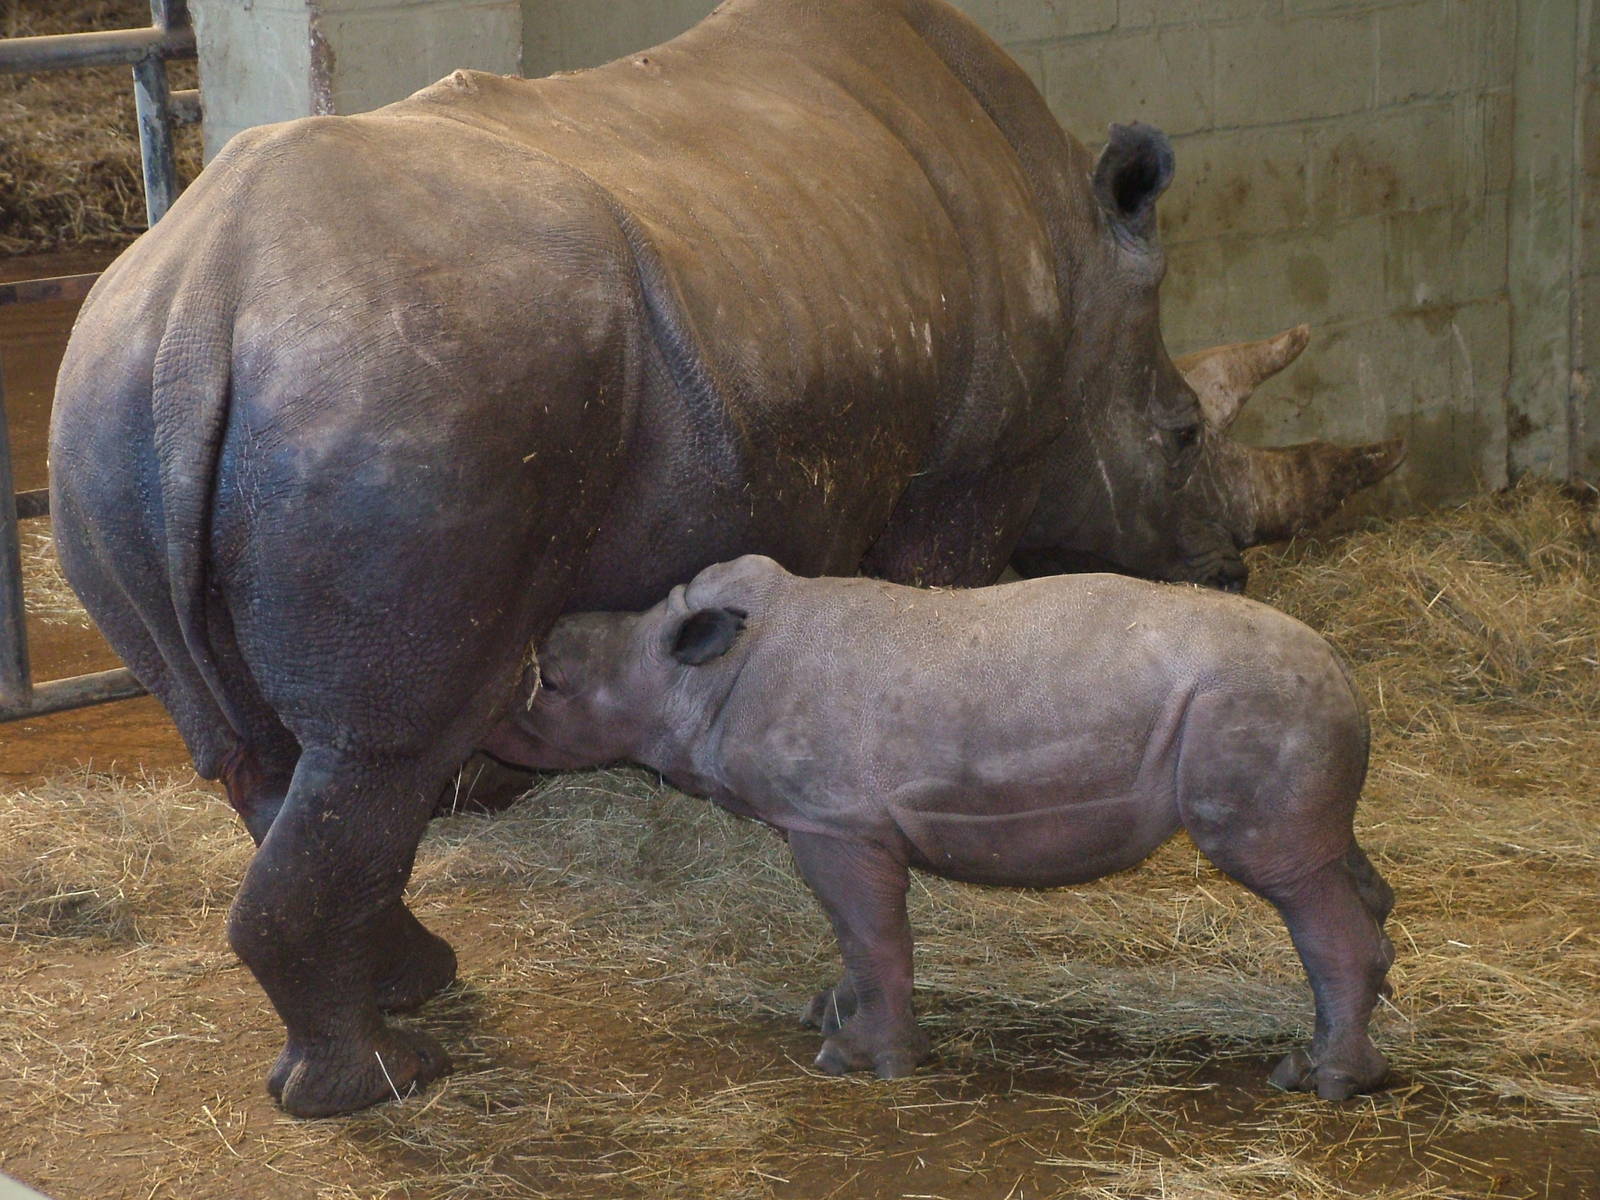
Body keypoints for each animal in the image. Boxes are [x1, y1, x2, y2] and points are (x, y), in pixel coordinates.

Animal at [485, 555, 1396, 1100]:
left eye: (553, 686)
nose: (492, 729)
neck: (697, 673)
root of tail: (1344, 666)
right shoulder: (832, 821)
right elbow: (856, 938)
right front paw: (831, 1011)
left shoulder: (838, 824)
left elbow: (874, 934)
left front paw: (863, 1061)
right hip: (1284, 705)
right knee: (1327, 860)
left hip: (1254, 700)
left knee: (1284, 873)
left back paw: (1320, 1080)